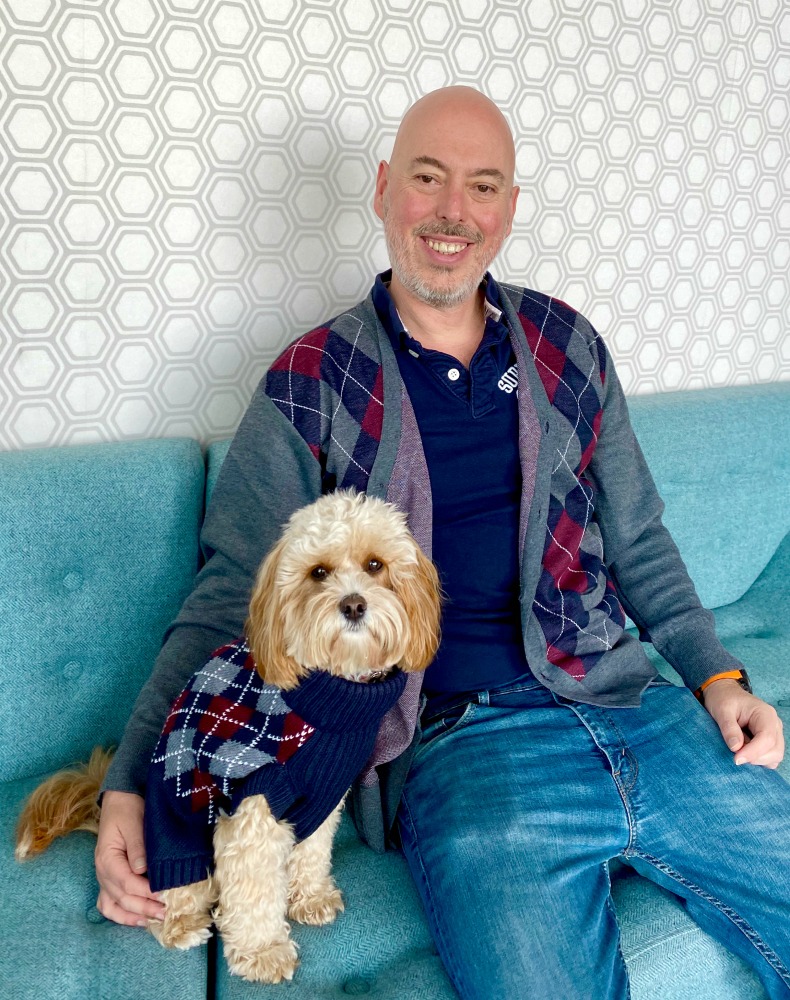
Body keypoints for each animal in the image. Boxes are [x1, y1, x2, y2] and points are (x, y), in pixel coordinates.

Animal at [15, 492, 442, 984]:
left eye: (375, 565)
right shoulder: (253, 805)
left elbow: (312, 849)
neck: (325, 695)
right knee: (174, 900)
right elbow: (253, 888)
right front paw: (263, 951)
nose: (353, 605)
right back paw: (182, 925)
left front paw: (310, 896)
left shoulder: (323, 795)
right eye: (318, 573)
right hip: (179, 849)